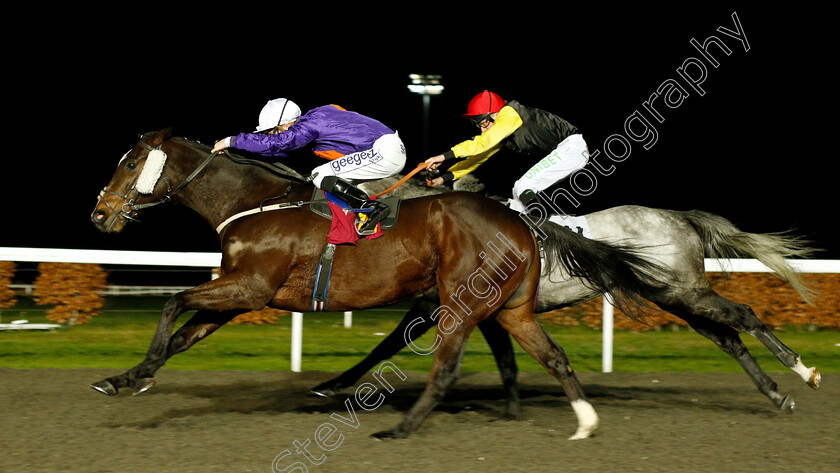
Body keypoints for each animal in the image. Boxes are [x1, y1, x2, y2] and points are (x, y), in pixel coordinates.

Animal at [88, 128, 672, 438]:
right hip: (511, 309)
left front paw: (140, 373)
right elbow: (184, 334)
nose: (99, 214)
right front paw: (126, 377)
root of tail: (521, 222)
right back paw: (585, 423)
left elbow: (171, 302)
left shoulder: (251, 287)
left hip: (460, 302)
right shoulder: (240, 294)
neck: (254, 202)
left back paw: (400, 427)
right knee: (552, 356)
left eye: (132, 162)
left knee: (447, 369)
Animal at [310, 171, 820, 418]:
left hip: (684, 290)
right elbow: (503, 357)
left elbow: (386, 344)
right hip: (675, 298)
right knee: (728, 337)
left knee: (745, 314)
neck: (438, 220)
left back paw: (804, 372)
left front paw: (331, 384)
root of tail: (680, 218)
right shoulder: (480, 310)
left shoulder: (440, 304)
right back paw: (776, 395)